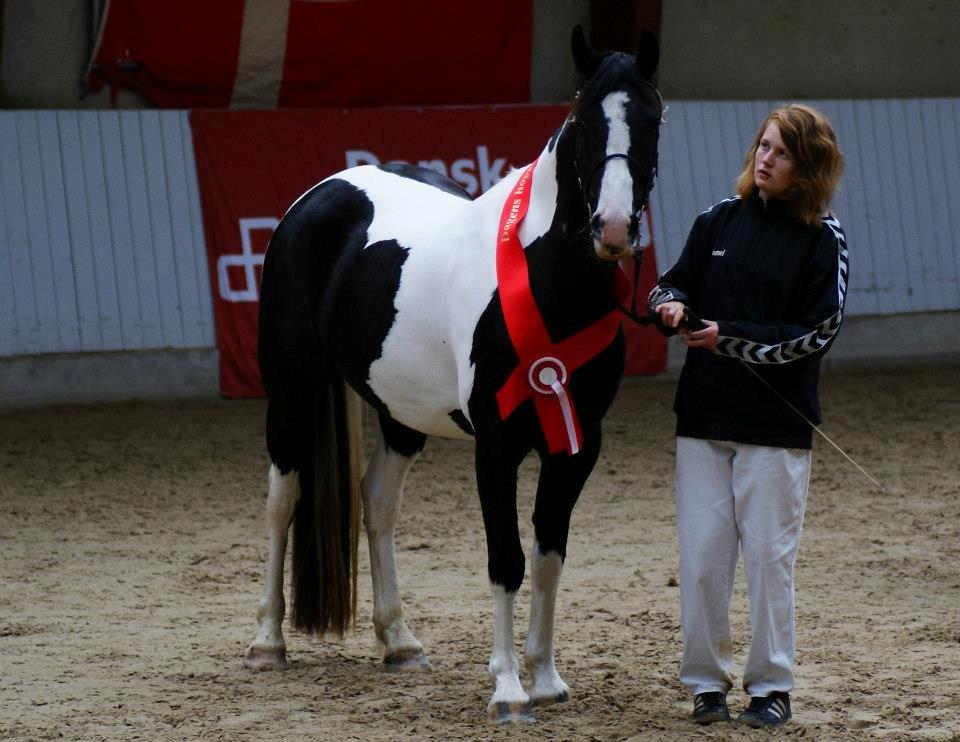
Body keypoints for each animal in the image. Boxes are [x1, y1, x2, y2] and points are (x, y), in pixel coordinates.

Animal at [244, 27, 664, 720]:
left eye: (653, 116)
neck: (546, 279)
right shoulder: (496, 446)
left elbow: (548, 557)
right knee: (284, 499)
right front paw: (508, 689)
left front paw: (545, 678)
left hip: (399, 414)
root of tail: (321, 194)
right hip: (291, 390)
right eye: (583, 119)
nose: (611, 228)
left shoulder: (577, 444)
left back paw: (400, 642)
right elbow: (506, 560)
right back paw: (266, 643)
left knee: (377, 503)